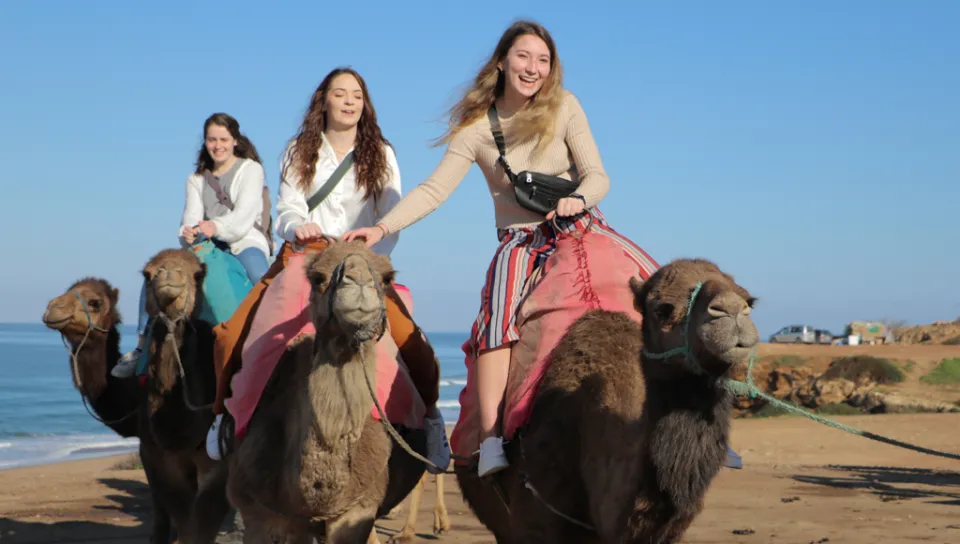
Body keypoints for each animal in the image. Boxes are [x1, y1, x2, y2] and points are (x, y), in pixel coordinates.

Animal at [138, 249, 233, 540]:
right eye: (147, 274)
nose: (168, 272)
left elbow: (201, 521)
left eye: (198, 275)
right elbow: (182, 514)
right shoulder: (157, 458)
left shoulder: (217, 462)